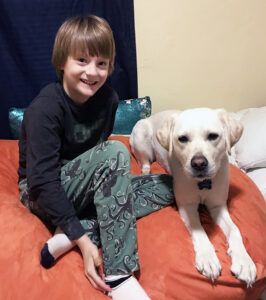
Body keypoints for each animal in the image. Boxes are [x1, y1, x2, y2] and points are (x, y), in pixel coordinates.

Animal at [130, 109, 256, 288]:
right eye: (182, 139)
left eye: (213, 136)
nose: (198, 163)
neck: (202, 183)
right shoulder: (187, 206)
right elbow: (199, 229)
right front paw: (207, 257)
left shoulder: (218, 206)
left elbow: (235, 230)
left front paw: (244, 261)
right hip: (142, 139)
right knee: (145, 162)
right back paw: (146, 172)